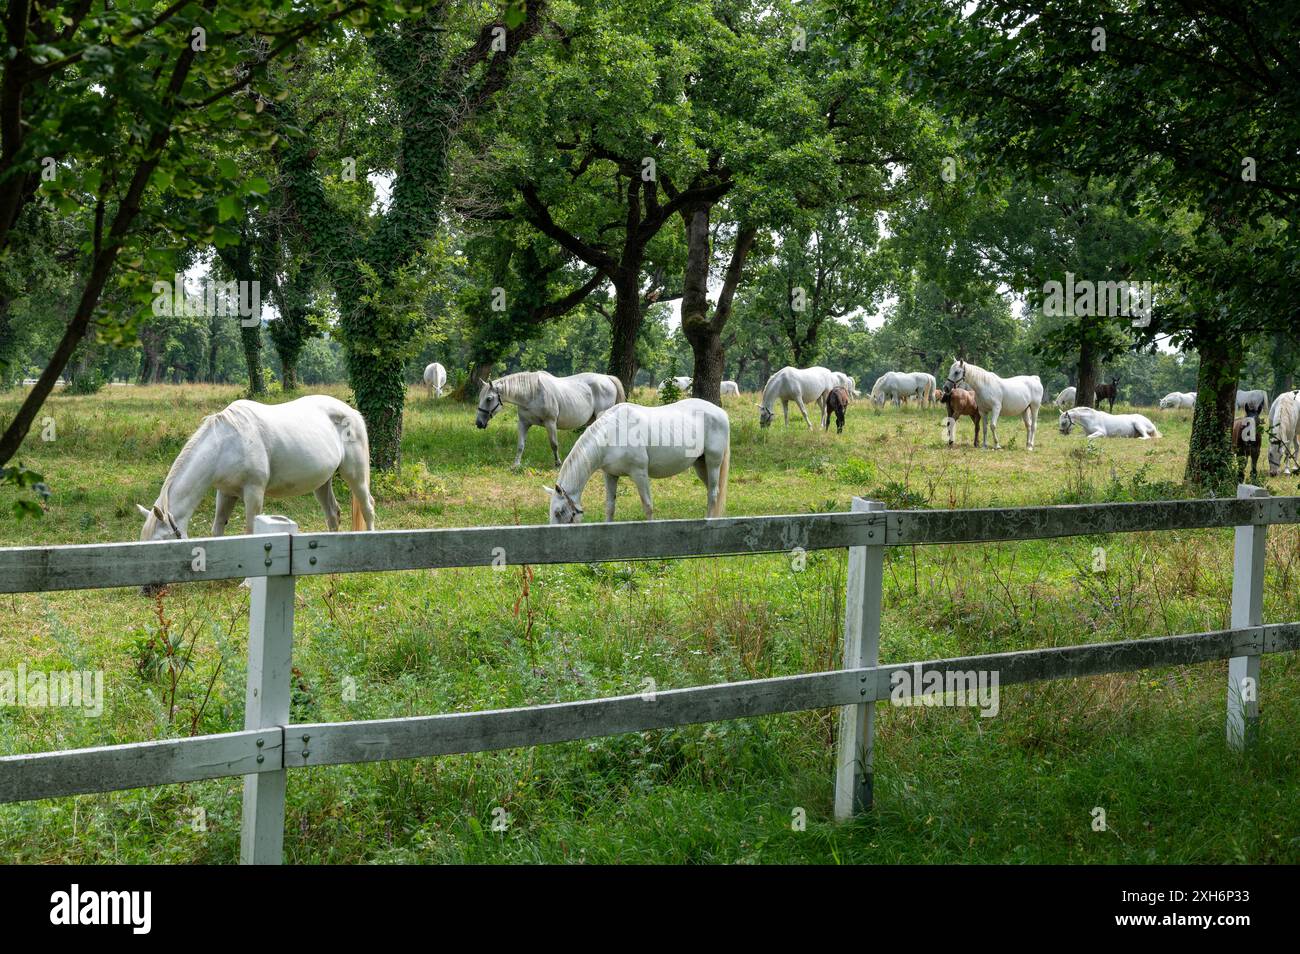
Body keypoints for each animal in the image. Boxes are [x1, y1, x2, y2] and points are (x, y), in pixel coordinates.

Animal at [138, 395, 377, 546]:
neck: (226, 443)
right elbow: (217, 528)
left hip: (355, 475)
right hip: (322, 483)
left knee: (367, 507)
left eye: (160, 541)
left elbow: (251, 531)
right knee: (333, 515)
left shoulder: (254, 492)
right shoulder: (226, 493)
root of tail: (352, 413)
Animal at [476, 371, 625, 468]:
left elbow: (554, 444)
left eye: (489, 399)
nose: (478, 423)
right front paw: (516, 465)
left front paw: (558, 463)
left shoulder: (550, 423)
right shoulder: (524, 423)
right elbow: (520, 445)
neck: (532, 393)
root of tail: (607, 378)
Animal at [546, 399, 730, 523]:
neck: (612, 433)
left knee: (713, 493)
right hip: (700, 465)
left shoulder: (639, 473)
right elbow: (610, 506)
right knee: (712, 491)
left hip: (713, 463)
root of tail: (721, 413)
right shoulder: (610, 475)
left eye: (558, 512)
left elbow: (648, 506)